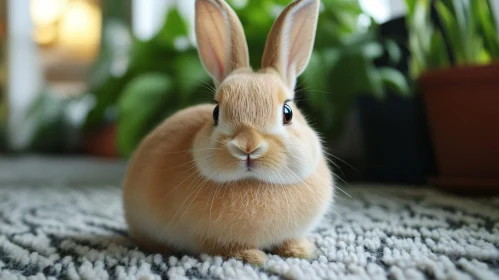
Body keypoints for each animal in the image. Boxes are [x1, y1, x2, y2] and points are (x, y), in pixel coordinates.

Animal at [123, 0, 336, 264]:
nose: (248, 147)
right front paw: (252, 256)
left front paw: (301, 250)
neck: (252, 183)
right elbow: (223, 248)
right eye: (216, 112)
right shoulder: (207, 239)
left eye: (288, 113)